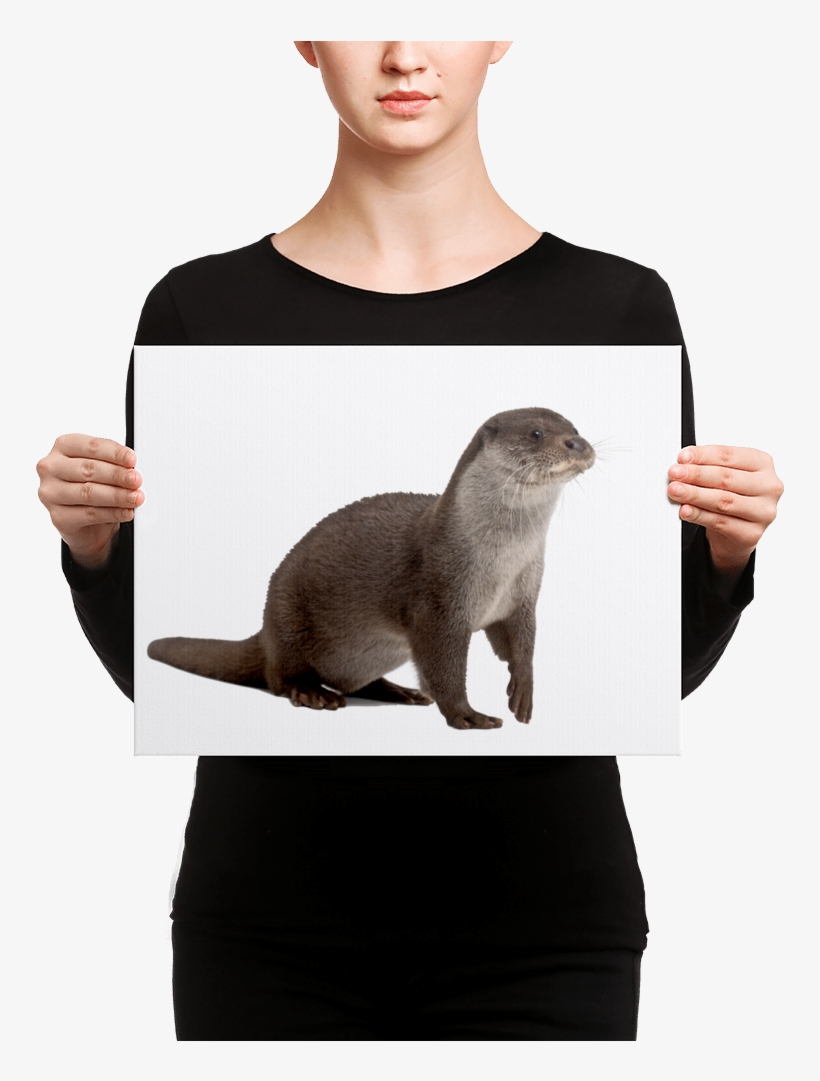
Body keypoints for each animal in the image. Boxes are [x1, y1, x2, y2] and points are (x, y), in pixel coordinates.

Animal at [148, 408, 595, 730]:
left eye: (574, 426)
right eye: (536, 433)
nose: (577, 442)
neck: (500, 562)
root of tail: (265, 631)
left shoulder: (523, 595)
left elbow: (519, 644)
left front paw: (523, 690)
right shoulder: (438, 602)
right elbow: (444, 666)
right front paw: (466, 715)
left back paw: (400, 692)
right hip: (288, 617)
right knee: (280, 678)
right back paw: (313, 694)